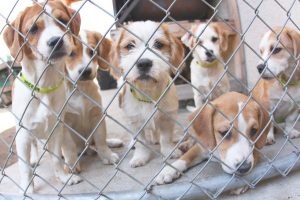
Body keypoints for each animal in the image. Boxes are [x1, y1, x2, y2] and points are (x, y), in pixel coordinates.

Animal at [2, 0, 82, 193]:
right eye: (32, 29)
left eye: (62, 20)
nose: (56, 41)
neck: (44, 87)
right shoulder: (23, 135)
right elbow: (24, 168)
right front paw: (27, 189)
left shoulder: (56, 130)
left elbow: (56, 159)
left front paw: (63, 178)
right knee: (33, 146)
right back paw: (33, 159)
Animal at [63, 29, 122, 167]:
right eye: (71, 53)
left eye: (92, 52)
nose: (86, 71)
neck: (80, 88)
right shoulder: (64, 123)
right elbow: (68, 146)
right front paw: (71, 165)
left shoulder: (97, 116)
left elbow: (101, 139)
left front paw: (107, 155)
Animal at [110, 20, 185, 167]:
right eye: (129, 46)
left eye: (158, 44)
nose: (144, 63)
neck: (148, 92)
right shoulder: (135, 123)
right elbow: (141, 143)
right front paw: (140, 157)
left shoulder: (167, 118)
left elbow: (166, 138)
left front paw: (169, 152)